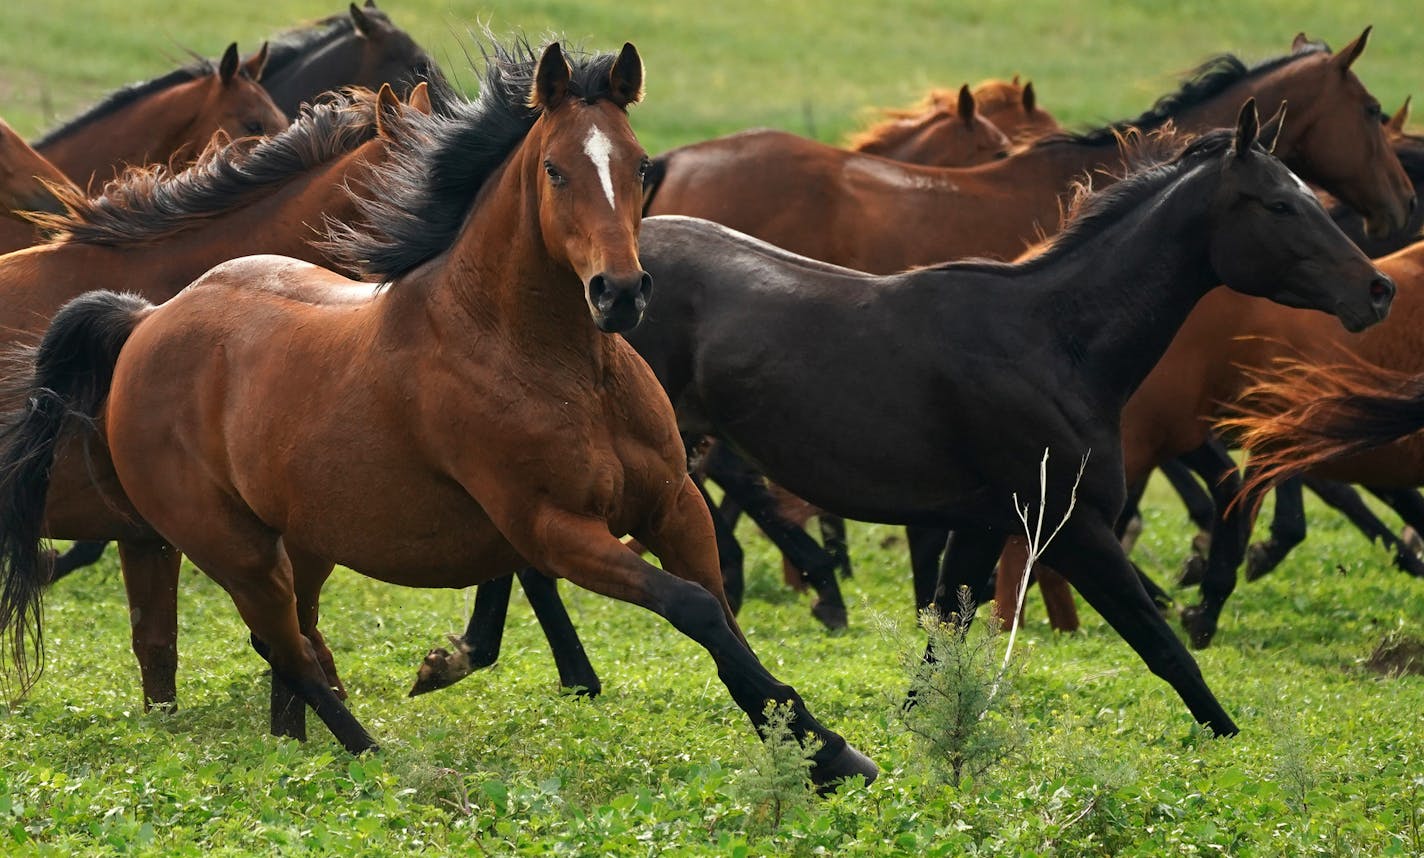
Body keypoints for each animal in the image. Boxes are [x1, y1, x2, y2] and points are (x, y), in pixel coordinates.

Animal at [415, 102, 1395, 739]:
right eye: (1280, 203)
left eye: (1309, 192)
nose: (1377, 289)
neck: (1055, 339)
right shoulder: (1071, 525)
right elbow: (1163, 647)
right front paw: (1229, 731)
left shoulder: (979, 522)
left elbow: (941, 647)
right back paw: (511, 664)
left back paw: (496, 662)